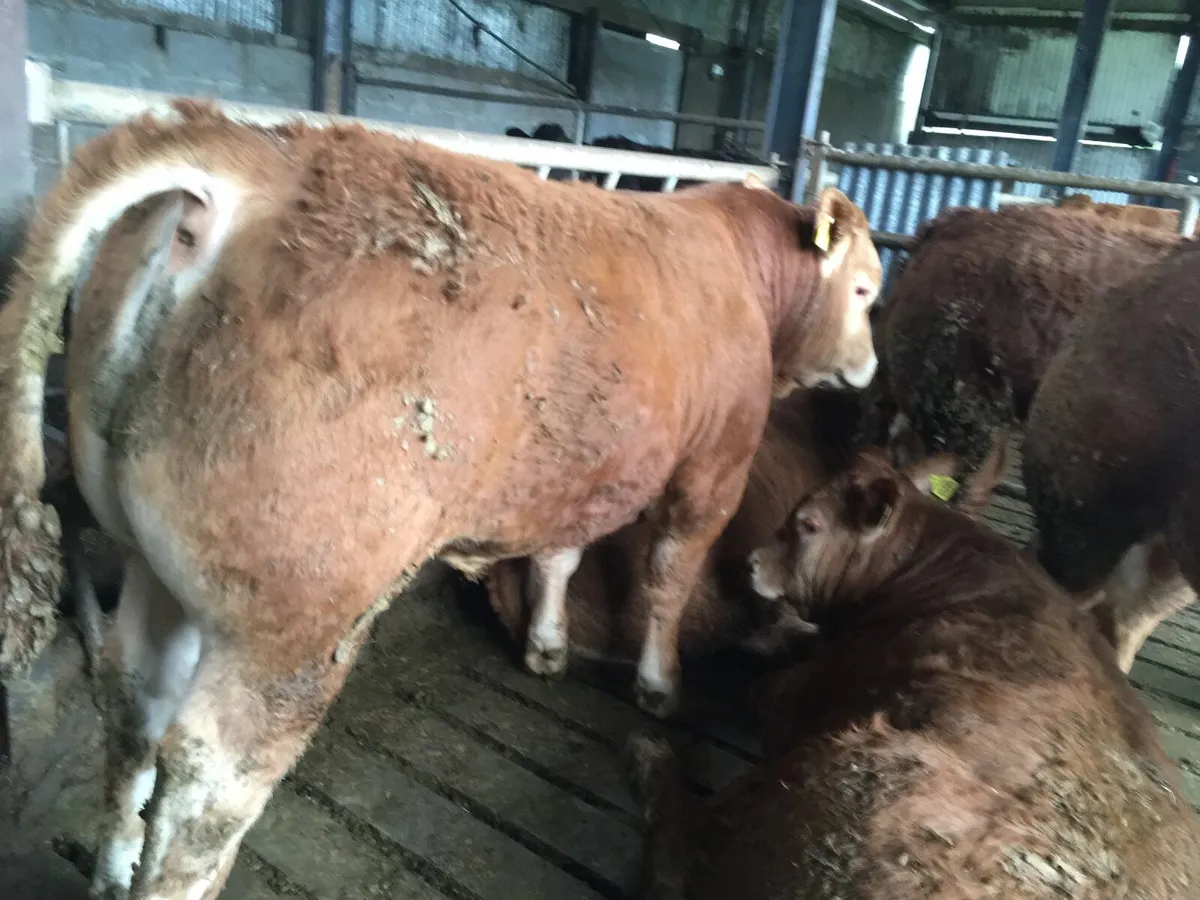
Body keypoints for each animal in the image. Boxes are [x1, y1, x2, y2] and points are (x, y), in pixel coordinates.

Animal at [626, 449, 1200, 900]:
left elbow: (764, 685)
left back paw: (652, 756)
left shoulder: (805, 688)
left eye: (808, 524)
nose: (750, 563)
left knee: (681, 858)